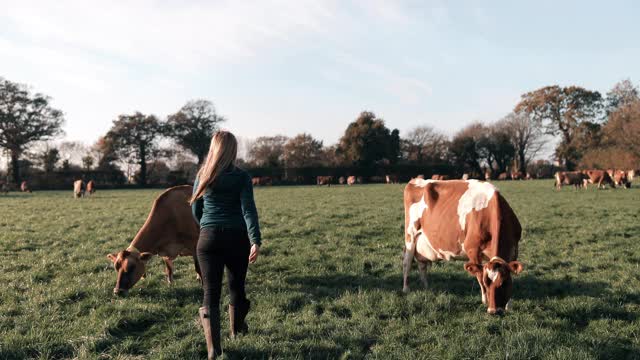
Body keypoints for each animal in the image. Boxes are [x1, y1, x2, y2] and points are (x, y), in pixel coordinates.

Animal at [402, 180, 524, 316]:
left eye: (503, 283)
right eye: (487, 284)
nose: (493, 311)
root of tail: (416, 180)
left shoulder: (514, 248)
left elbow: (511, 274)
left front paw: (508, 305)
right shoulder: (472, 250)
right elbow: (479, 275)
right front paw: (484, 300)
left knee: (422, 265)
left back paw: (427, 287)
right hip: (410, 235)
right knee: (407, 262)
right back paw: (406, 288)